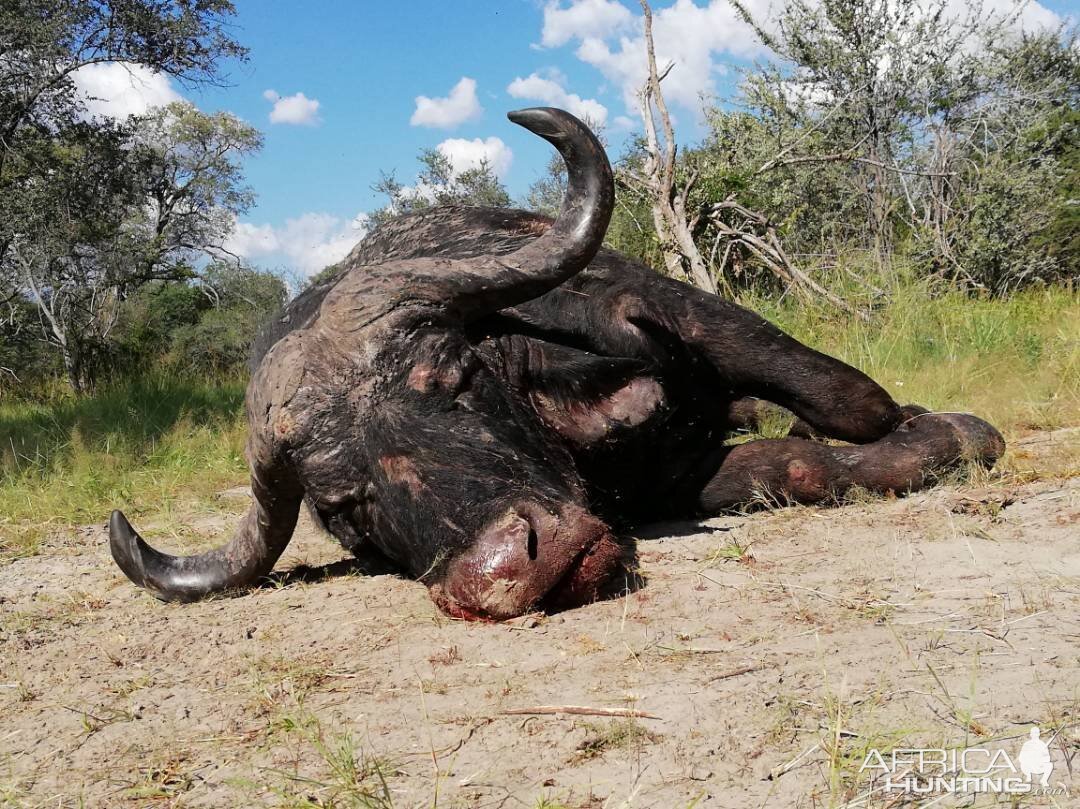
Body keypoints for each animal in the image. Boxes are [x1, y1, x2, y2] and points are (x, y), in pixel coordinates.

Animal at [109, 109, 1002, 617]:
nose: (509, 566)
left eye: (453, 382)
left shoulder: (669, 306)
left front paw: (952, 428)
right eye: (346, 506)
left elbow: (845, 394)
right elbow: (798, 466)